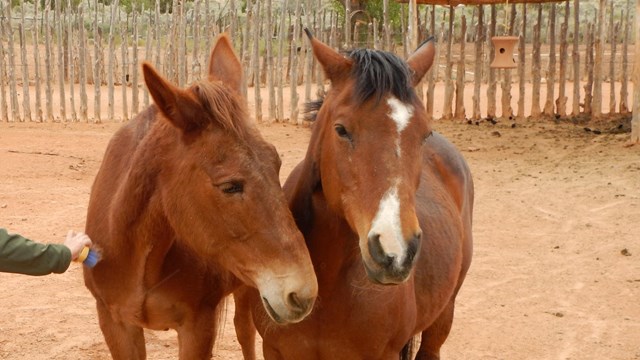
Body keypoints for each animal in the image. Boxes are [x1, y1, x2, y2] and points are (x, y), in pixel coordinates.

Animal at [82, 33, 318, 358]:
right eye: (229, 186)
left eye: (277, 165)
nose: (304, 294)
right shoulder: (115, 323)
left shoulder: (198, 326)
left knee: (245, 331)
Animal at [235, 31, 476, 360]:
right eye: (341, 129)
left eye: (424, 134)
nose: (395, 251)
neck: (327, 280)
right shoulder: (274, 350)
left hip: (443, 316)